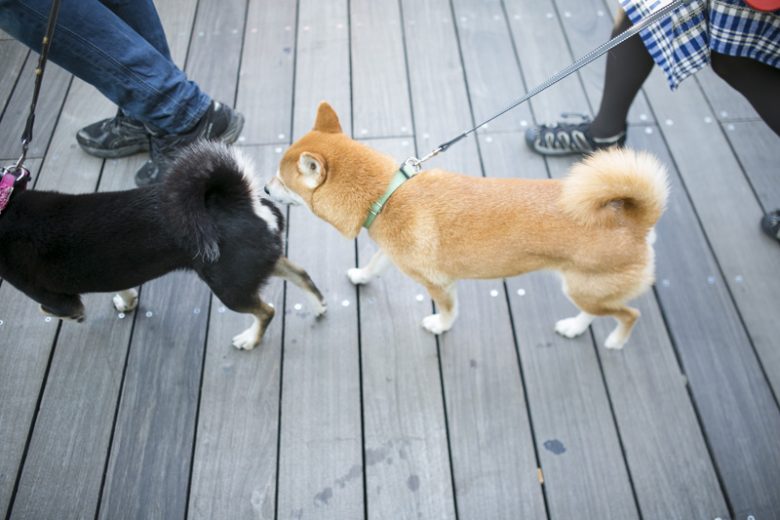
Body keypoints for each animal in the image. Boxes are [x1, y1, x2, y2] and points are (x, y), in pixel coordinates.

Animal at [266, 102, 668, 350]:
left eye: (282, 182)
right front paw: (361, 276)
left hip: (586, 289)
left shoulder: (439, 284)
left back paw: (615, 341)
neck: (386, 194)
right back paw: (574, 327)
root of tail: (635, 220)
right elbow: (374, 264)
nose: (266, 189)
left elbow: (448, 311)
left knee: (629, 314)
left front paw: (440, 326)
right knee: (598, 312)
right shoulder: (392, 253)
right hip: (584, 289)